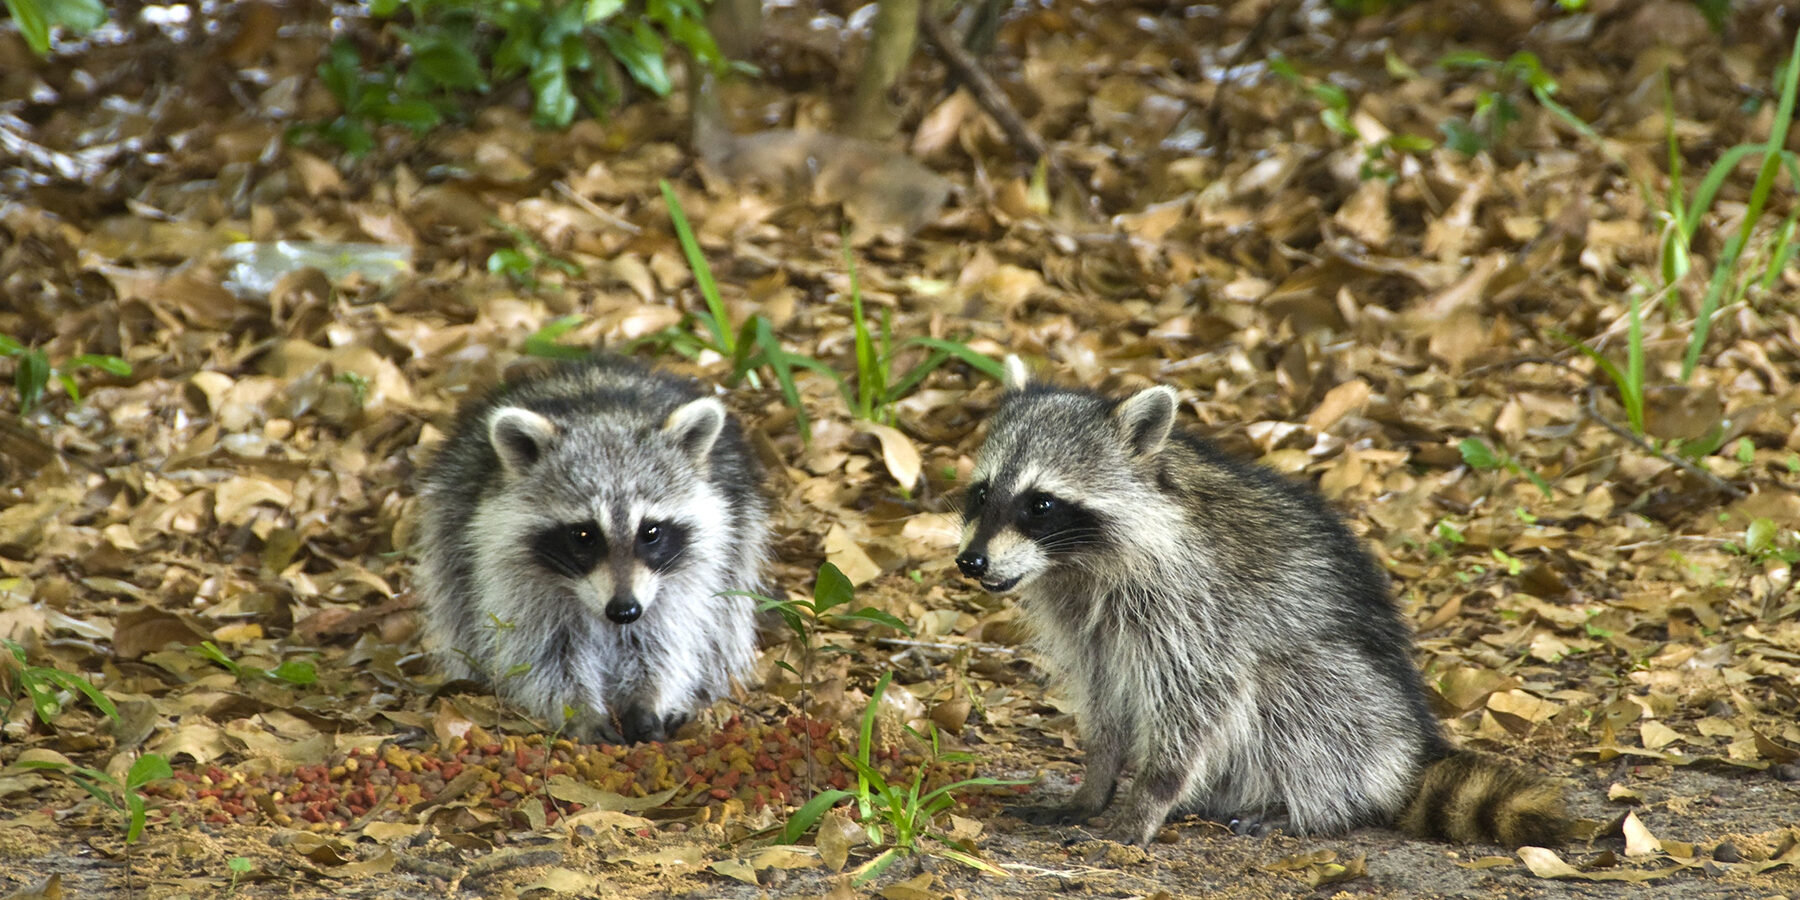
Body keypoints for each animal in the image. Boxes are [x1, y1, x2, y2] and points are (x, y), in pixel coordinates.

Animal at [414, 356, 771, 744]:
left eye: (651, 532)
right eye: (583, 535)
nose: (625, 611)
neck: (602, 416)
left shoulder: (691, 572)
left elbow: (667, 638)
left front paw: (649, 697)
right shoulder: (508, 570)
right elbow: (540, 650)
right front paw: (580, 709)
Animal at [955, 357, 1568, 848]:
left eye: (1040, 505)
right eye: (982, 493)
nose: (971, 562)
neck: (1075, 564)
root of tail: (1410, 745)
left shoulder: (1197, 610)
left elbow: (1200, 704)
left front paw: (1146, 801)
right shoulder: (1086, 624)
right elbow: (1104, 700)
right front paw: (1096, 784)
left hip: (1353, 695)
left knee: (1296, 697)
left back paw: (1313, 806)